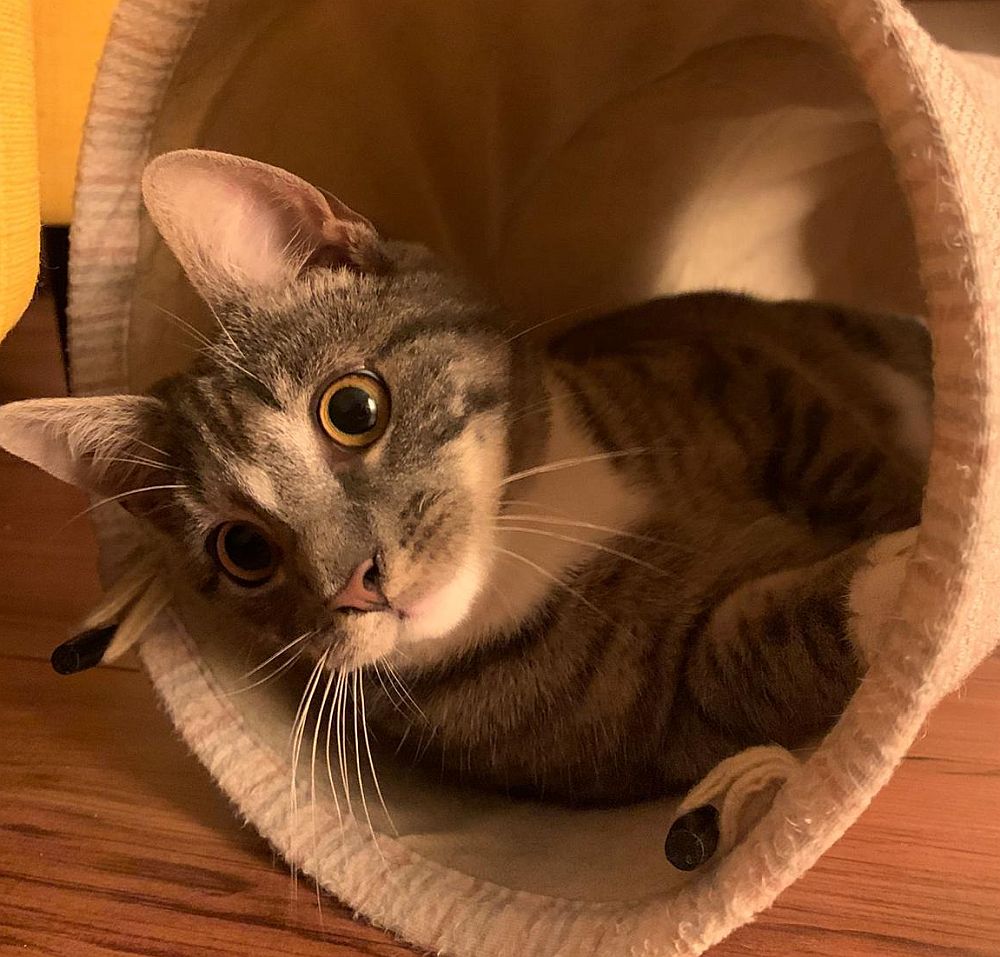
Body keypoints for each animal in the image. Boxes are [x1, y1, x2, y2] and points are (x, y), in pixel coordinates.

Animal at [0, 150, 931, 805]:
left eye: (353, 408)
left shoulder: (745, 372)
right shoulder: (654, 710)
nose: (358, 583)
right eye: (243, 551)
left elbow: (846, 460)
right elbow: (751, 647)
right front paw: (902, 581)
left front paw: (923, 533)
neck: (537, 532)